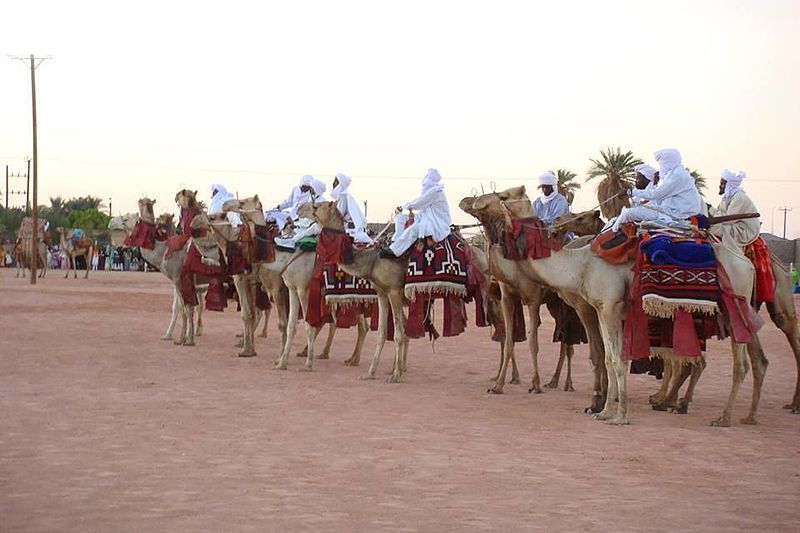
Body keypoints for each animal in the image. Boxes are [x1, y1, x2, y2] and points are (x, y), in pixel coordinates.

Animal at [466, 185, 764, 426]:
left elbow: (615, 359)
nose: (473, 201)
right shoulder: (601, 309)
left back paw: (722, 417)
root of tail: (746, 264)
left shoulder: (608, 307)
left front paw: (619, 416)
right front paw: (606, 411)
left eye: (503, 196)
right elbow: (610, 358)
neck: (580, 264)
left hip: (734, 303)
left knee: (739, 364)